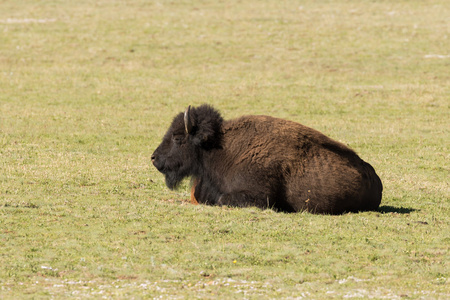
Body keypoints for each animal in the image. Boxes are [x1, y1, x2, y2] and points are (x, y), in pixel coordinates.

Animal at [152, 104, 384, 214]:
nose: (154, 158)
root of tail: (375, 178)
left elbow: (223, 199)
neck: (219, 147)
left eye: (177, 137)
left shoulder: (257, 195)